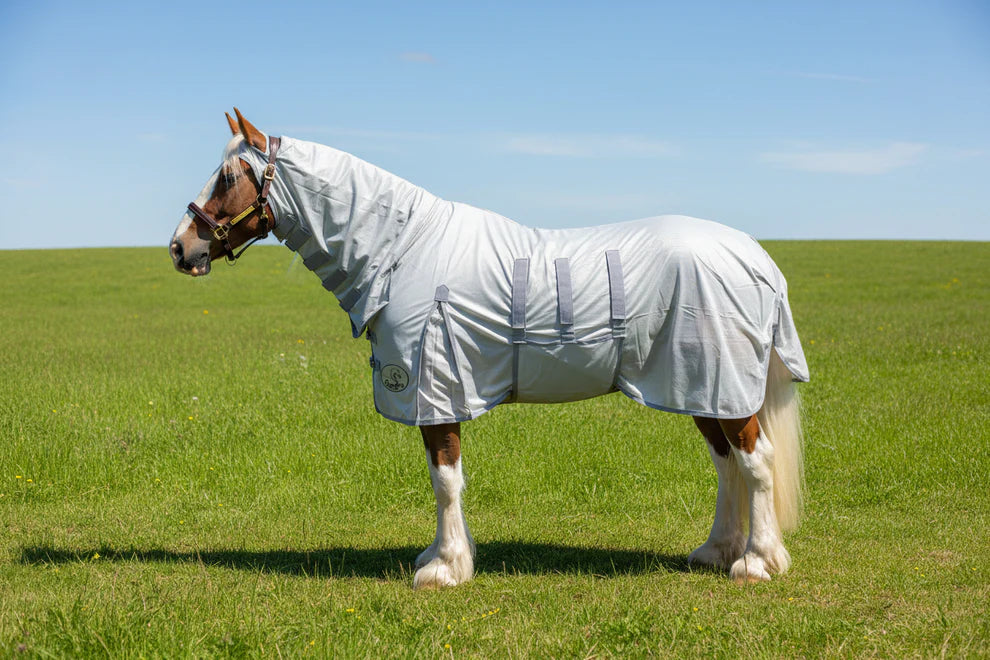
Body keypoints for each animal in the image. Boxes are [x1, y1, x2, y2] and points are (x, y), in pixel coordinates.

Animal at [170, 109, 809, 589]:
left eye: (228, 177)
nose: (180, 247)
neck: (404, 249)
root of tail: (756, 255)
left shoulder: (434, 391)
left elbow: (445, 479)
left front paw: (446, 568)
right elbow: (444, 477)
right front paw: (443, 556)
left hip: (721, 384)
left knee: (755, 462)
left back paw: (757, 562)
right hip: (700, 387)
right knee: (726, 463)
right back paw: (718, 550)